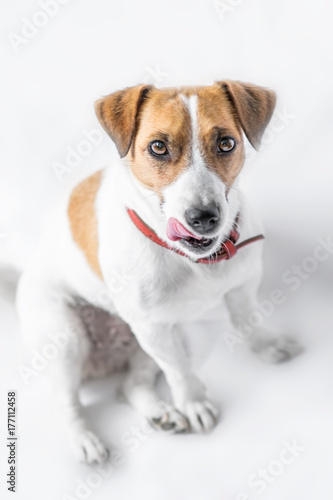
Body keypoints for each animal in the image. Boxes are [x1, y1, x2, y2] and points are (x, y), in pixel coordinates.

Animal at [15, 80, 302, 462]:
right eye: (158, 147)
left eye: (226, 143)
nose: (204, 217)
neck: (196, 261)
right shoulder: (153, 328)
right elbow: (180, 371)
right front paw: (193, 403)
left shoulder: (242, 286)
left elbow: (247, 318)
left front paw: (266, 344)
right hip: (66, 338)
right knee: (68, 403)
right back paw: (85, 440)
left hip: (146, 344)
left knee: (129, 386)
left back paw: (160, 412)